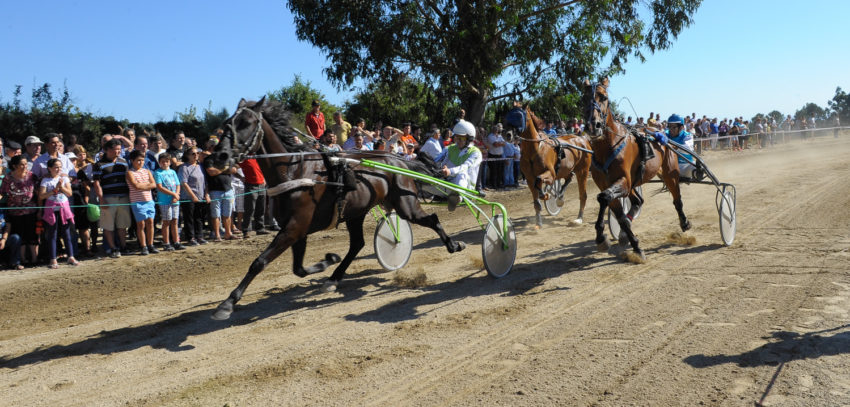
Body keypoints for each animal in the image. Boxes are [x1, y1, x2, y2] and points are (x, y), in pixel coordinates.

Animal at [210, 97, 468, 320]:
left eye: (246, 123)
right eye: (227, 123)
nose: (219, 155)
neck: (294, 171)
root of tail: (399, 160)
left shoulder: (294, 228)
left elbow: (260, 262)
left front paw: (227, 303)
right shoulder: (295, 229)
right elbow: (298, 268)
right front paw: (329, 260)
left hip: (405, 204)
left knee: (432, 219)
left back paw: (454, 245)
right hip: (356, 212)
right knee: (357, 245)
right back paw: (334, 278)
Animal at [580, 78, 692, 262]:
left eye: (603, 97)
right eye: (583, 98)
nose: (593, 125)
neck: (608, 147)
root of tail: (661, 132)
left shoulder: (623, 181)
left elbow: (604, 198)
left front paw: (628, 245)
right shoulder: (608, 183)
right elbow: (615, 210)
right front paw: (613, 239)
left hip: (670, 173)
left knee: (677, 199)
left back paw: (684, 223)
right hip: (634, 182)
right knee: (638, 201)